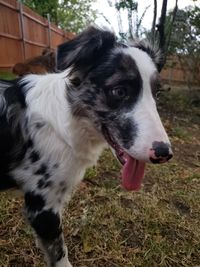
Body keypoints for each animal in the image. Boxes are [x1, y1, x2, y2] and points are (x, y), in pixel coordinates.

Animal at [0, 27, 173, 267]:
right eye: (120, 91)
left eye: (156, 94)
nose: (164, 153)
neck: (67, 120)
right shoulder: (43, 206)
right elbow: (60, 255)